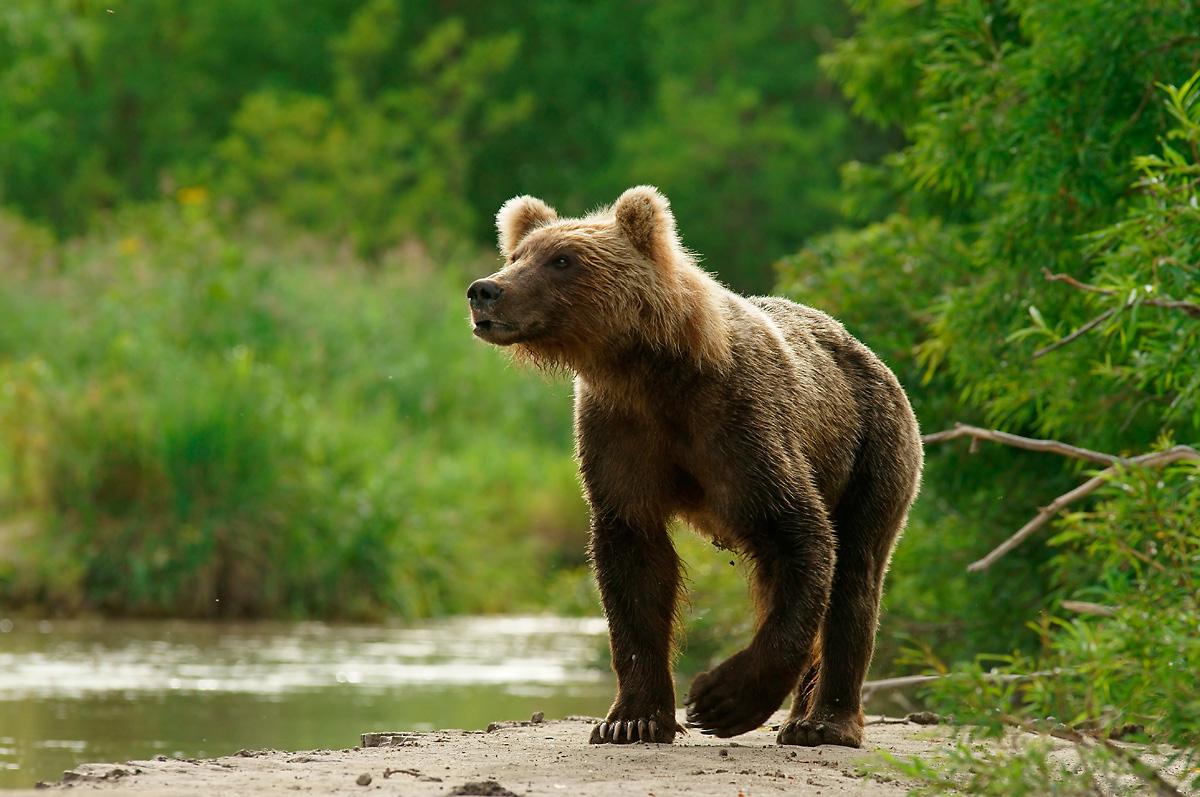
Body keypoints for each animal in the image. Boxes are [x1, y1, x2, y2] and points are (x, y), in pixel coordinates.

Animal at [463, 184, 921, 748]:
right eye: (516, 256)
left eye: (562, 260)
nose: (484, 291)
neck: (650, 371)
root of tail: (872, 356)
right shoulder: (619, 435)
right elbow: (634, 565)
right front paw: (632, 719)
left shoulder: (740, 427)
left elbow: (801, 535)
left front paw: (722, 699)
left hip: (873, 452)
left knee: (856, 573)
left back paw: (824, 722)